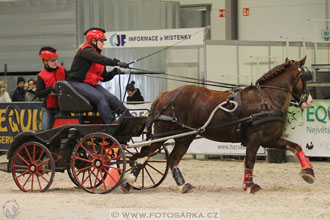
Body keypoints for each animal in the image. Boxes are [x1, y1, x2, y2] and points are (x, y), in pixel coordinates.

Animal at [122, 56, 314, 192]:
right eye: (304, 77)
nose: (309, 100)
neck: (266, 98)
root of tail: (165, 95)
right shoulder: (255, 138)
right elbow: (250, 161)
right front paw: (250, 186)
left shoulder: (270, 139)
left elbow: (296, 146)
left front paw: (308, 172)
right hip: (164, 134)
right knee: (143, 155)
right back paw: (129, 180)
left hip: (185, 137)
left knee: (172, 159)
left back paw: (182, 185)